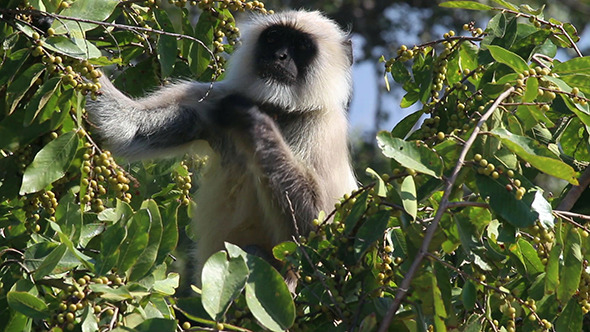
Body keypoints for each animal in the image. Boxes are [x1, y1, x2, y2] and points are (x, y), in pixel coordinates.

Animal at [85, 9, 358, 286]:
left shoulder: (324, 129)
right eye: (273, 38)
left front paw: (252, 120)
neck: (280, 110)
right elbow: (128, 127)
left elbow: (314, 233)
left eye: (301, 46)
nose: (279, 56)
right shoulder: (212, 97)